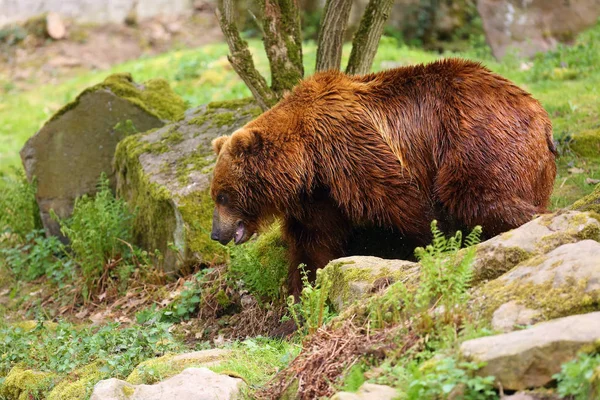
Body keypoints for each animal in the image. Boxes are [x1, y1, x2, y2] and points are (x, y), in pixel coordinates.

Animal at [211, 58, 556, 296]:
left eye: (222, 195)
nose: (216, 233)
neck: (307, 157)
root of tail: (541, 113)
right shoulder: (318, 195)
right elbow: (313, 241)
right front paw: (301, 291)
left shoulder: (353, 150)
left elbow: (405, 203)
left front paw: (434, 245)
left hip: (475, 138)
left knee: (477, 195)